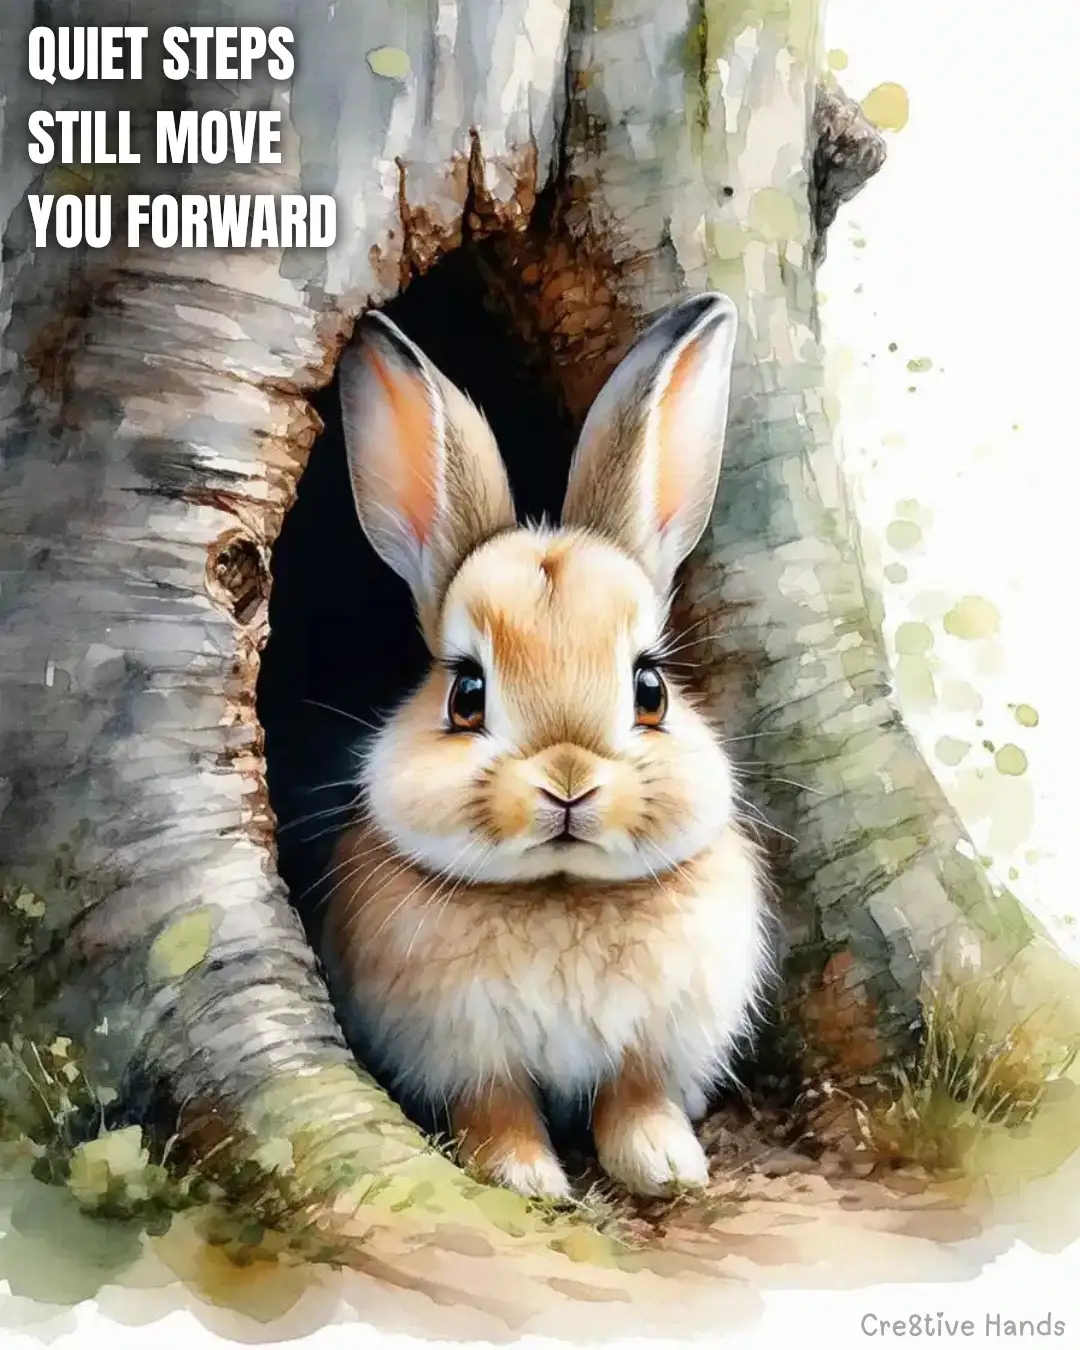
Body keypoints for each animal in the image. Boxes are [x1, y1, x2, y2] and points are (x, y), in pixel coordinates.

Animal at [320, 291, 770, 1201]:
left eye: (650, 690)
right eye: (466, 695)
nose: (568, 782)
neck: (560, 891)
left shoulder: (651, 1047)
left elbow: (634, 1099)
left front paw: (666, 1165)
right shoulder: (463, 1057)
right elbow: (495, 1110)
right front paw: (525, 1179)